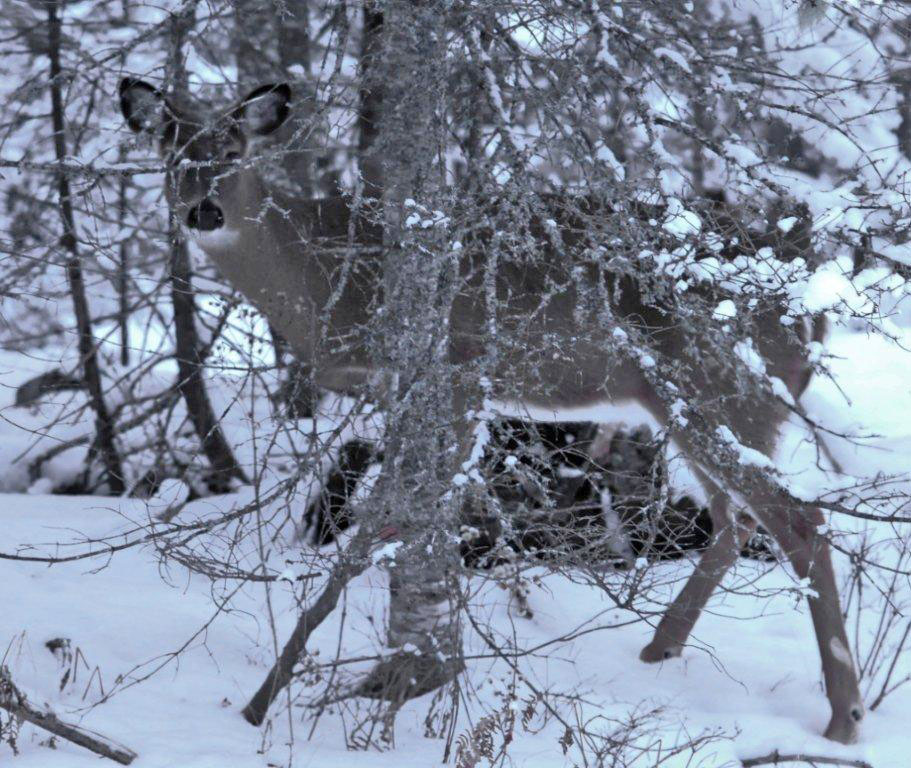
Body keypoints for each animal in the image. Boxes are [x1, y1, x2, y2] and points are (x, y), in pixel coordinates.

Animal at [118, 77, 865, 743]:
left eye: (233, 151)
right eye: (171, 154)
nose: (204, 212)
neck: (324, 280)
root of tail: (813, 306)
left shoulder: (451, 368)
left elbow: (384, 523)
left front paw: (269, 701)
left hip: (717, 384)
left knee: (799, 520)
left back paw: (843, 719)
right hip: (690, 403)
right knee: (737, 522)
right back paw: (660, 651)